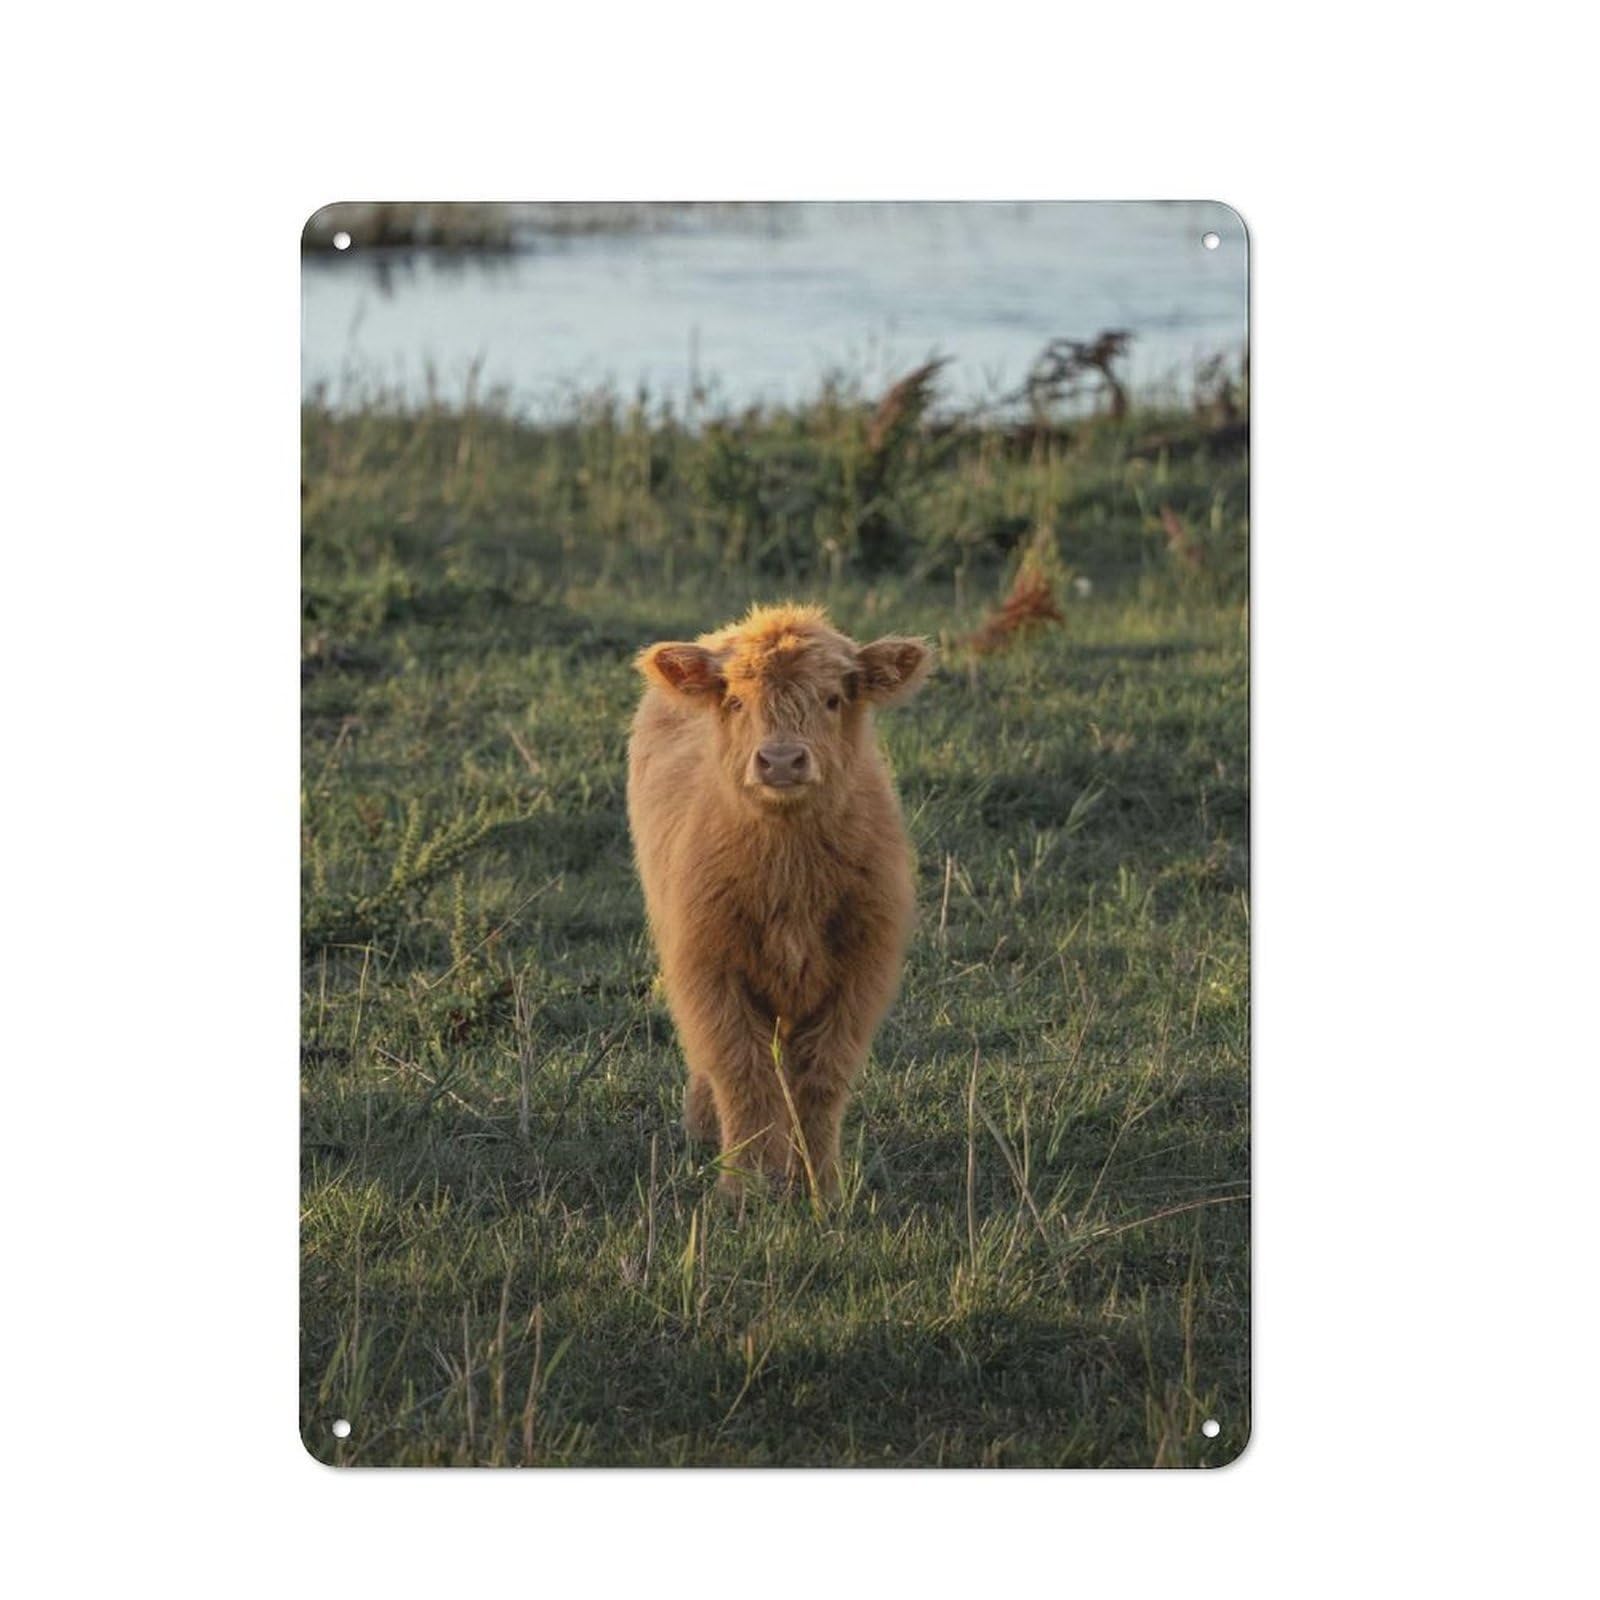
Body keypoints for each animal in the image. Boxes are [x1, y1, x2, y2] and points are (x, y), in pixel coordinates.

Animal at [627, 602, 932, 1200]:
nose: (783, 761)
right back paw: (704, 1128)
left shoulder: (859, 974)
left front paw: (819, 1185)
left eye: (833, 698)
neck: (790, 878)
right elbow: (741, 1073)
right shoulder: (708, 969)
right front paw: (744, 1186)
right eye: (736, 700)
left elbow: (821, 1078)